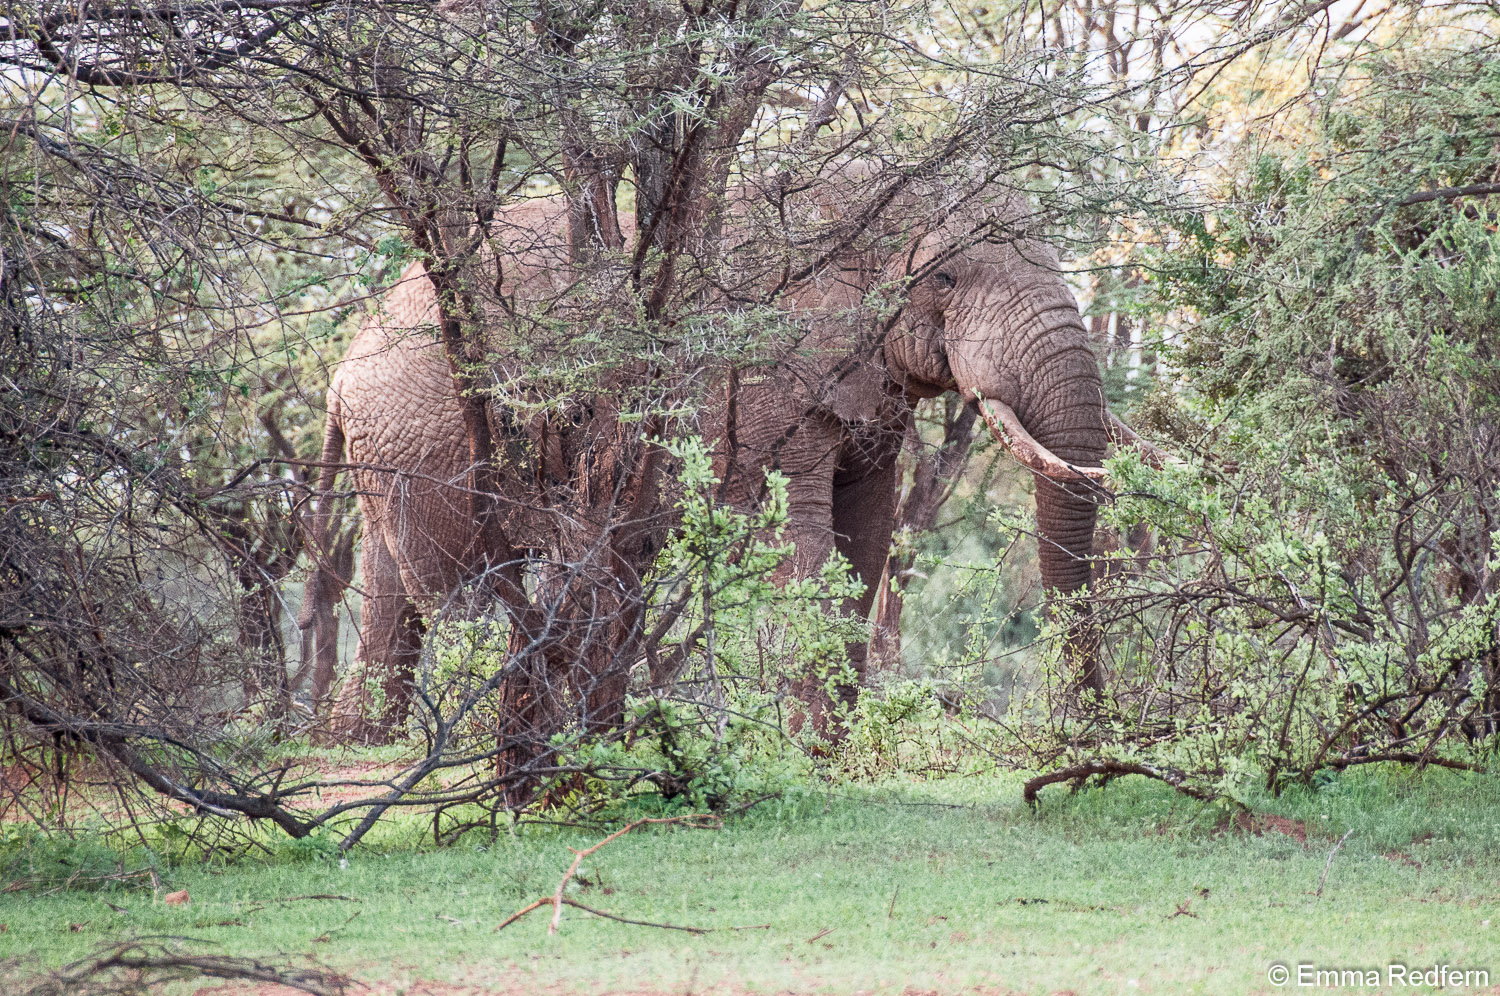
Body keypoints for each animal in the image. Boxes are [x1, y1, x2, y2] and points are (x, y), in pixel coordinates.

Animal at [305, 171, 1158, 741]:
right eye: (945, 276)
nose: (1092, 731)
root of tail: (347, 356)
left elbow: (866, 539)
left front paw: (830, 745)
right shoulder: (758, 382)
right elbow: (806, 546)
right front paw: (809, 746)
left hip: (398, 440)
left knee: (396, 587)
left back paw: (358, 742)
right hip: (437, 430)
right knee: (456, 584)